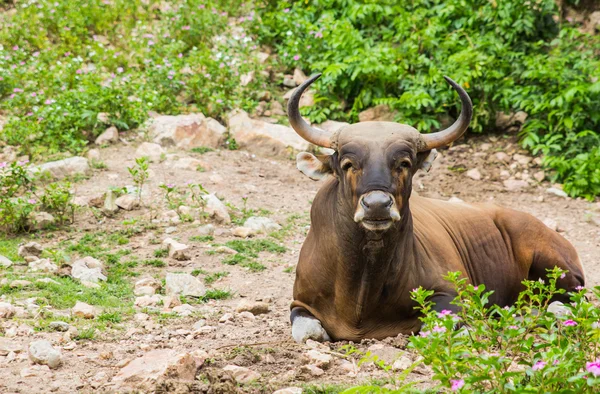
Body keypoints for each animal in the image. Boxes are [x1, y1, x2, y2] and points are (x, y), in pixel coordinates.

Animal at [288, 73, 584, 342]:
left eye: (404, 163)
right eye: (348, 164)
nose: (377, 206)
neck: (362, 293)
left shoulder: (453, 294)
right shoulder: (300, 303)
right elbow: (307, 332)